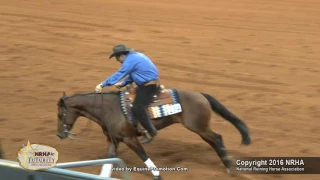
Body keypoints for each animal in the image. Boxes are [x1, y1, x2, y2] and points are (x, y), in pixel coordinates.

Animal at [56, 84, 251, 180]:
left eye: (60, 114)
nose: (59, 135)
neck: (109, 108)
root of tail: (201, 95)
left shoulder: (130, 138)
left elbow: (143, 155)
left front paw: (158, 175)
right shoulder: (113, 139)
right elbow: (109, 158)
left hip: (198, 127)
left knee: (217, 139)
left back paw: (229, 166)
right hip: (200, 128)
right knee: (214, 141)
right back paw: (227, 165)